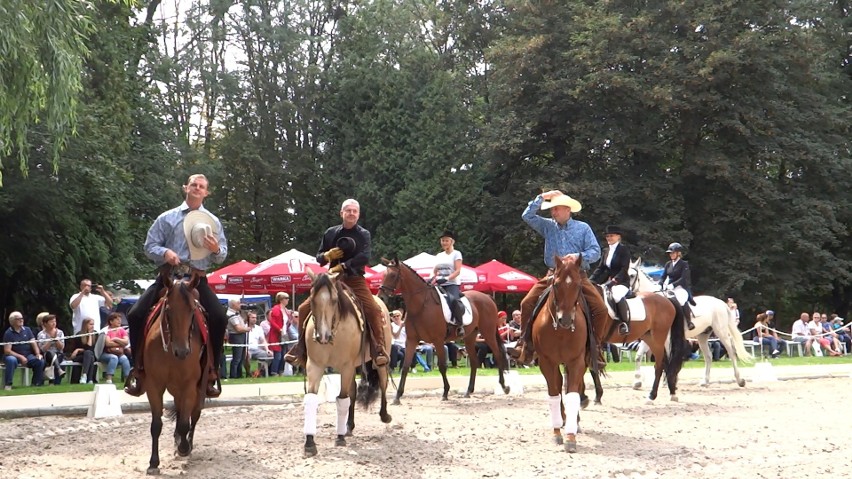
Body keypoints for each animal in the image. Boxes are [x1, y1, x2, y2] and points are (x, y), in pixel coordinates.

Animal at [141, 270, 211, 476]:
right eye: (169, 310)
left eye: (192, 310)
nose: (182, 351)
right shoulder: (154, 385)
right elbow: (156, 424)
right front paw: (153, 463)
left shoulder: (189, 386)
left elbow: (185, 423)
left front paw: (184, 448)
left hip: (197, 389)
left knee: (193, 415)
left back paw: (186, 444)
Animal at [302, 272, 392, 460]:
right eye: (312, 299)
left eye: (334, 300)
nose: (322, 336)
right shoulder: (315, 365)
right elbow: (312, 399)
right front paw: (309, 443)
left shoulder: (346, 366)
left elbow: (342, 398)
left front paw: (340, 437)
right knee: (354, 391)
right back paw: (348, 426)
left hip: (379, 362)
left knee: (383, 383)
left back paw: (384, 415)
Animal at [378, 256, 506, 404]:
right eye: (383, 275)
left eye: (393, 275)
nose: (381, 297)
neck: (421, 306)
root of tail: (487, 297)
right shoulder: (411, 340)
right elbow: (405, 367)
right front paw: (397, 397)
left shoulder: (438, 340)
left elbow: (442, 366)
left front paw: (445, 393)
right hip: (470, 337)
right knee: (474, 362)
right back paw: (468, 391)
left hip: (488, 333)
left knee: (497, 354)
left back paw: (504, 386)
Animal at [624, 258, 752, 390]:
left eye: (632, 275)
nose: (626, 294)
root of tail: (720, 303)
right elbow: (639, 356)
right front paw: (637, 382)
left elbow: (667, 357)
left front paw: (668, 381)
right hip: (702, 336)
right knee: (708, 356)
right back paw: (705, 381)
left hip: (721, 332)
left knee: (731, 352)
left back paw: (740, 380)